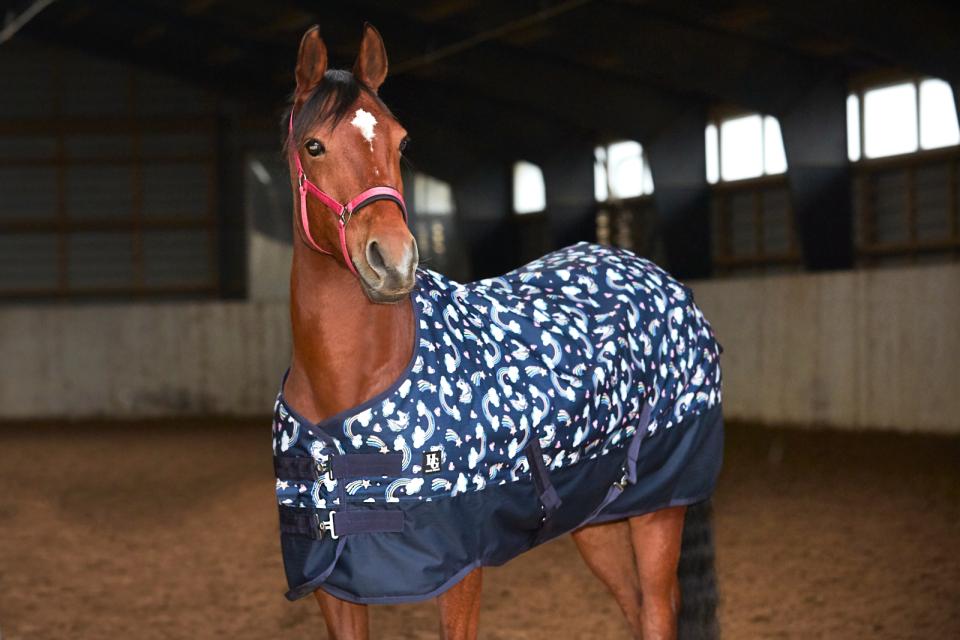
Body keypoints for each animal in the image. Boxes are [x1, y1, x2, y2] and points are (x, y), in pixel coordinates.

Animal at [275, 24, 722, 640]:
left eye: (400, 143)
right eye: (313, 146)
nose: (393, 260)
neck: (351, 387)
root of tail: (658, 277)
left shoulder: (461, 574)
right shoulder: (332, 588)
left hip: (659, 511)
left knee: (657, 611)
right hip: (598, 520)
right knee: (634, 608)